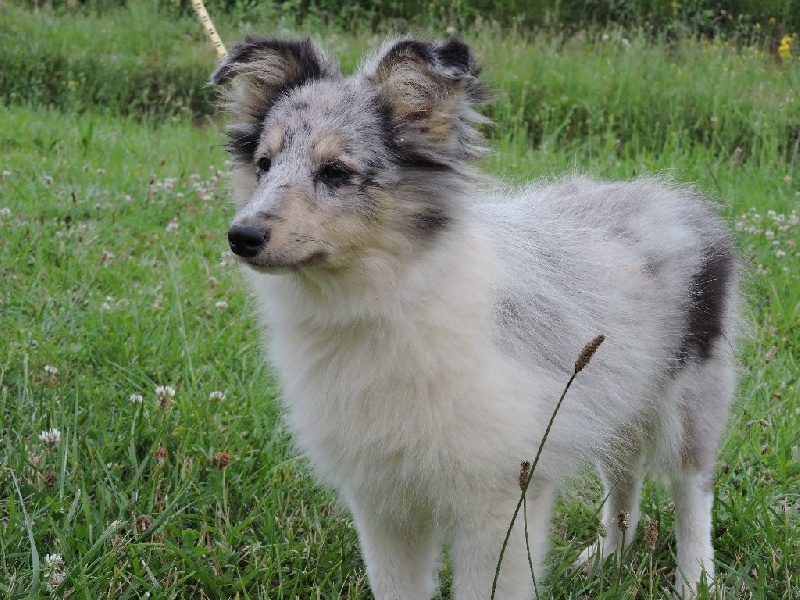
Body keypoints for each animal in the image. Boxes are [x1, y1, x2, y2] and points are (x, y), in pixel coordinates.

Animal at [209, 35, 740, 596]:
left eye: (336, 172)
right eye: (264, 164)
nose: (241, 236)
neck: (395, 299)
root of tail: (677, 199)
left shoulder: (499, 501)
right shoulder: (382, 503)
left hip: (690, 397)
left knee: (692, 490)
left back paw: (695, 580)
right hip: (616, 393)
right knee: (624, 471)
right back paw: (606, 557)